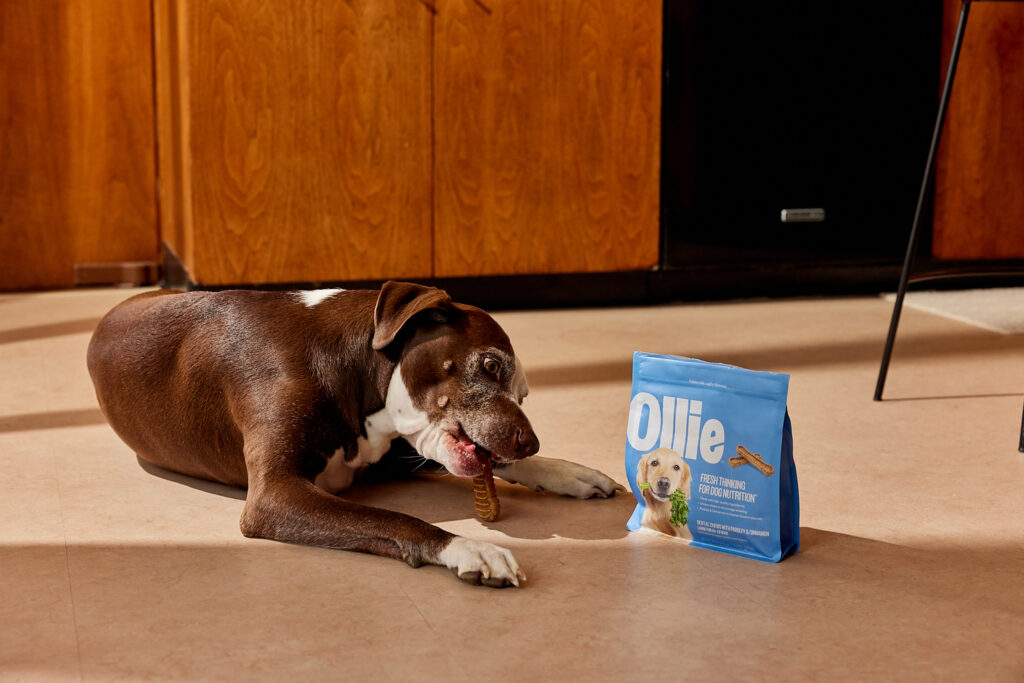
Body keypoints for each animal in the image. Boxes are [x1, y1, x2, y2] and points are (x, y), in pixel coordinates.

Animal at [83, 282, 618, 589]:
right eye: (490, 365)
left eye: (523, 394)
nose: (530, 442)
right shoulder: (275, 495)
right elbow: (396, 518)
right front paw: (469, 547)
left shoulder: (392, 450)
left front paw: (570, 472)